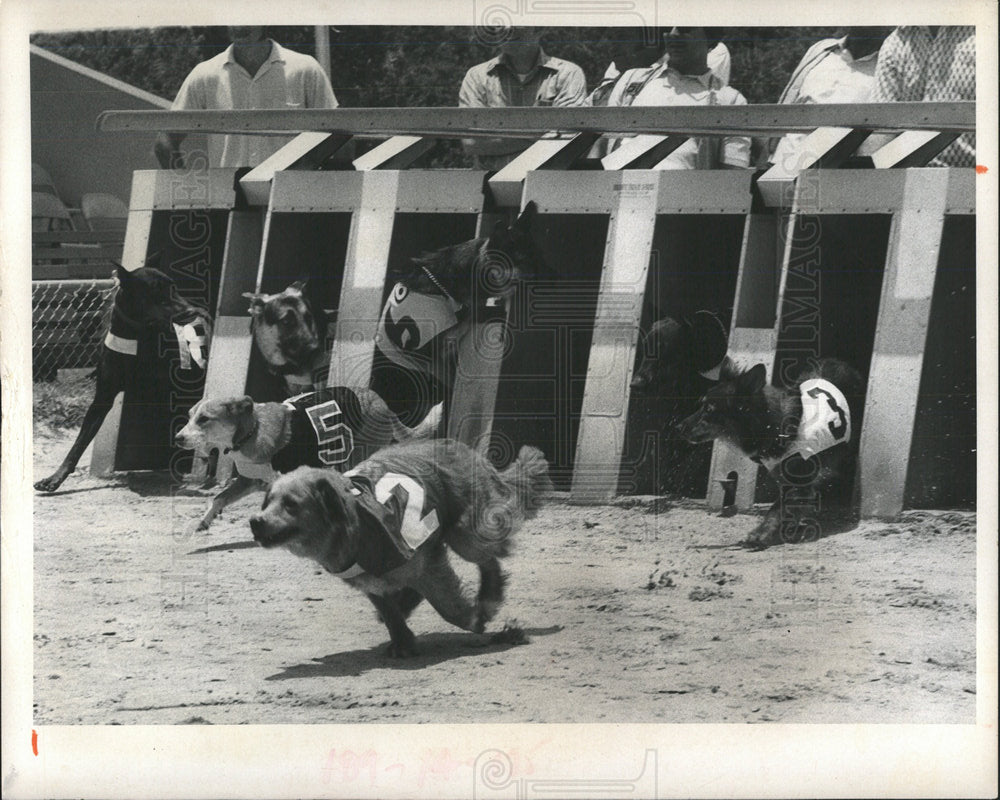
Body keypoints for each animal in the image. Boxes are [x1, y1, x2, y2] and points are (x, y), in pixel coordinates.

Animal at [36, 266, 212, 494]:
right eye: (159, 293)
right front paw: (55, 478)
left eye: (174, 288)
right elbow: (79, 443)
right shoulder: (103, 397)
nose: (194, 311)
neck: (134, 337)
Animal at [175, 388, 442, 532]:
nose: (178, 438)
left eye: (204, 419)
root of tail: (380, 401)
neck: (253, 429)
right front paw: (204, 520)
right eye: (189, 416)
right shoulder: (250, 481)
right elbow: (218, 498)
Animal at [246, 438, 552, 656]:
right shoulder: (371, 577)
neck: (355, 520)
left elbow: (448, 607)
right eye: (268, 501)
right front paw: (402, 641)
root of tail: (465, 449)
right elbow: (389, 612)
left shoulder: (425, 561)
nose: (255, 522)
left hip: (466, 534)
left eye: (291, 504)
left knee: (488, 560)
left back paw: (489, 596)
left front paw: (477, 618)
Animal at [676, 358, 864, 552]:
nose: (678, 428)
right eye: (702, 405)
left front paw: (761, 535)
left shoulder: (799, 482)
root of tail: (839, 361)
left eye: (709, 409)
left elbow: (777, 509)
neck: (772, 426)